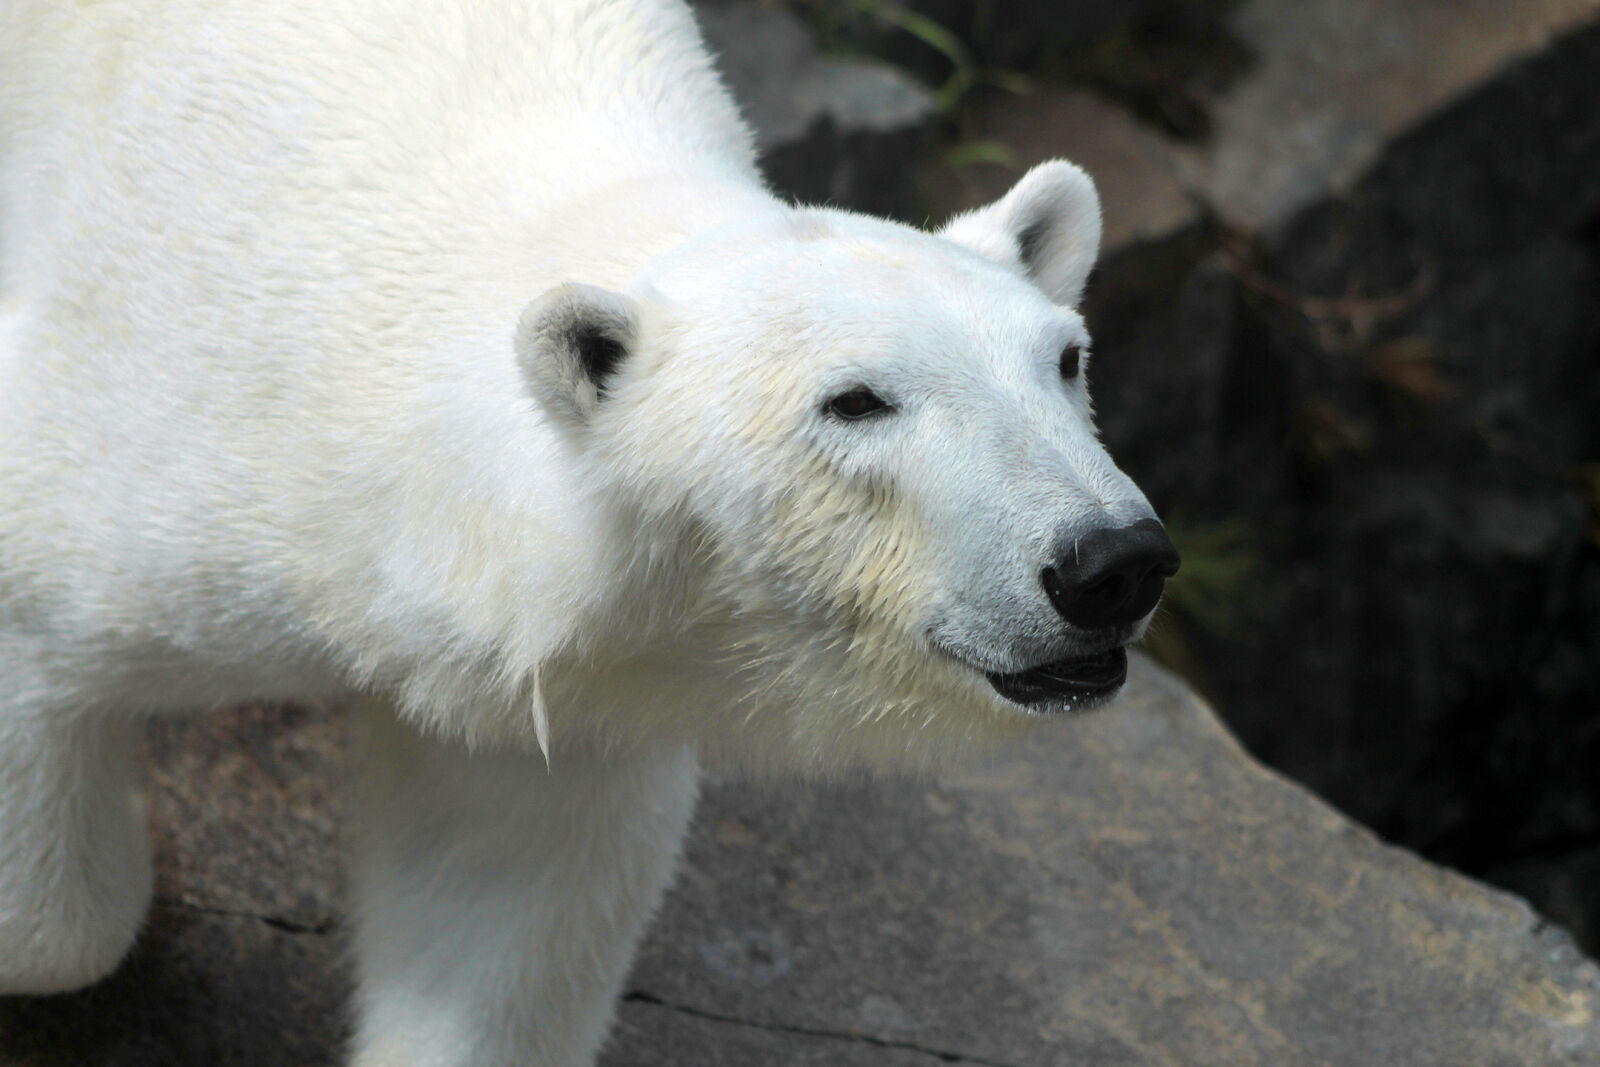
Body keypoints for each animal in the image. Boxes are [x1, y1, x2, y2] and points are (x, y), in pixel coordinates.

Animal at [0, 0, 1177, 1062]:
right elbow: (54, 902)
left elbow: (504, 899)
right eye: (855, 401)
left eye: (1064, 359)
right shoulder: (177, 421)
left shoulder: (563, 694)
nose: (1110, 562)